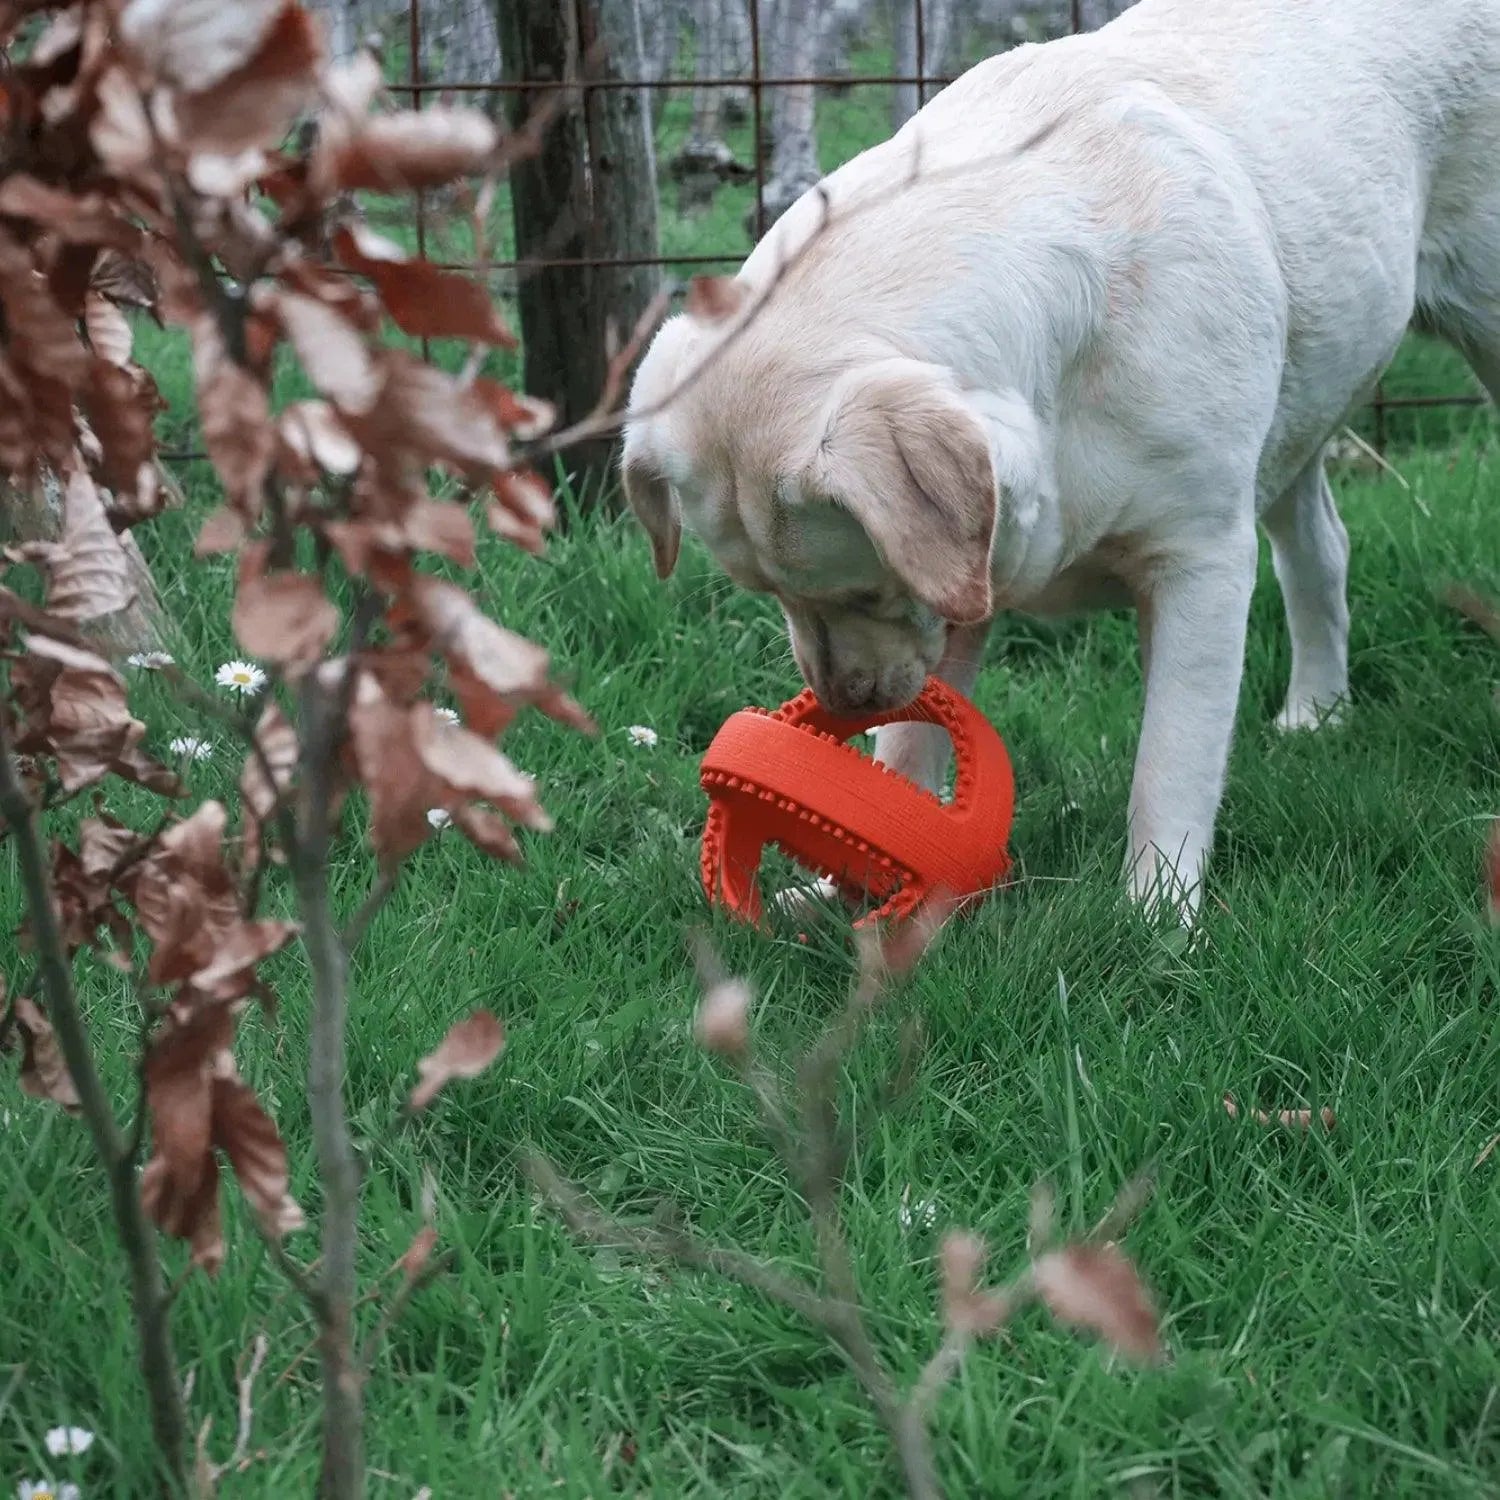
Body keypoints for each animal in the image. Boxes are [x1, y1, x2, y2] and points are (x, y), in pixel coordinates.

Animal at [618, 0, 1500, 912]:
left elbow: (1171, 761)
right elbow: (909, 751)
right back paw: (1316, 715)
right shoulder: (970, 576)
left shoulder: (1200, 563)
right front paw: (856, 888)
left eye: (868, 591)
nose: (842, 702)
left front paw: (1155, 916)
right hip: (1299, 400)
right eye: (773, 598)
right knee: (1321, 547)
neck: (1066, 365)